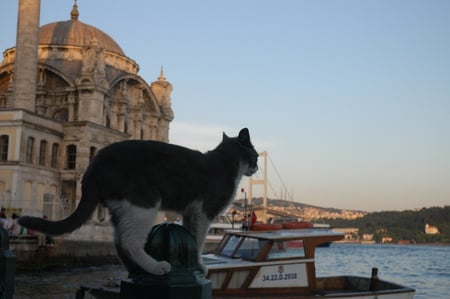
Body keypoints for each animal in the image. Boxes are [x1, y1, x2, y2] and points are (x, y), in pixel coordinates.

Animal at [18, 127, 256, 276]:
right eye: (255, 156)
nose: (256, 167)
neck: (226, 162)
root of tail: (95, 163)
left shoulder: (191, 212)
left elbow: (191, 235)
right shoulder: (205, 212)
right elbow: (198, 241)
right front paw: (200, 265)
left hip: (122, 208)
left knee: (118, 241)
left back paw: (135, 269)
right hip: (143, 203)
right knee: (129, 242)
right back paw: (155, 267)